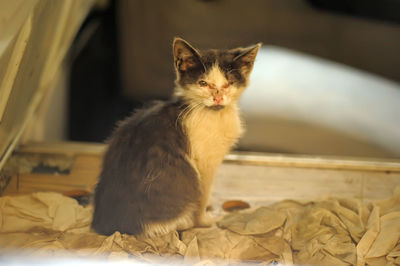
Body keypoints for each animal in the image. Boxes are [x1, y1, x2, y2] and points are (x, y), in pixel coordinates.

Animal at [92, 37, 260, 237]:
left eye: (229, 83)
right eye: (203, 83)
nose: (218, 98)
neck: (214, 114)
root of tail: (112, 227)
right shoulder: (205, 163)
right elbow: (203, 194)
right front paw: (206, 220)